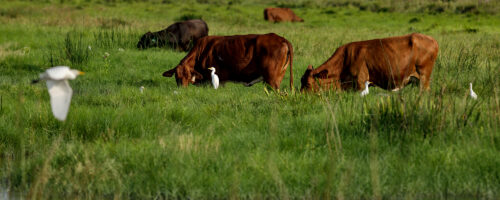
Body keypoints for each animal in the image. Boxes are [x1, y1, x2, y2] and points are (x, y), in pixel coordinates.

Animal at [162, 33, 292, 89]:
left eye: (189, 76)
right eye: (176, 76)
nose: (182, 89)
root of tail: (280, 38)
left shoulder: (215, 80)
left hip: (272, 80)